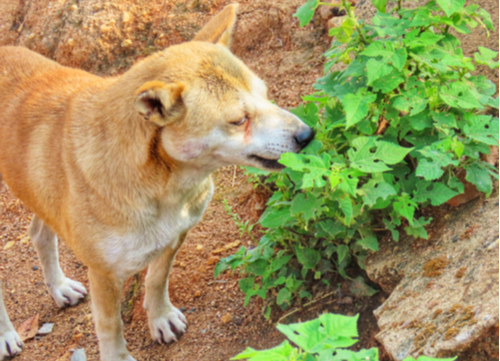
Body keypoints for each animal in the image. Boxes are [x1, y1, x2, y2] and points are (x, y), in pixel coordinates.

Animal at [0, 4, 312, 358]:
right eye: (238, 120)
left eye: (266, 95)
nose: (307, 135)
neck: (164, 185)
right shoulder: (104, 273)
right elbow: (111, 327)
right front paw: (118, 356)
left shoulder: (176, 233)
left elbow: (157, 279)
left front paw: (160, 317)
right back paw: (6, 334)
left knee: (39, 234)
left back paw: (60, 287)